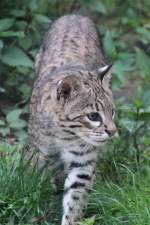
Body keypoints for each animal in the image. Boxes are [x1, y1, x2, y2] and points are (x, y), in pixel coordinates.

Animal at [27, 14, 117, 225]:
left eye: (112, 112)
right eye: (93, 116)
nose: (112, 131)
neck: (64, 134)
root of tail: (75, 15)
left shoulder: (82, 161)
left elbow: (76, 197)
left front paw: (71, 219)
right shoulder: (43, 152)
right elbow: (48, 178)